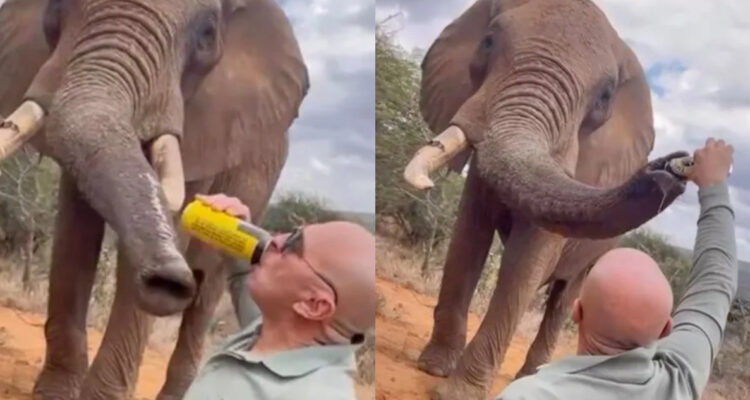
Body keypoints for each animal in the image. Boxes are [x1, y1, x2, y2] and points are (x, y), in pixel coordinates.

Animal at [0, 0, 308, 398]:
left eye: (207, 34)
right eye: (55, 8)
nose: (168, 278)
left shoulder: (209, 128)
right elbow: (75, 230)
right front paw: (55, 394)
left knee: (206, 290)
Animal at [402, 0, 688, 399]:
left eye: (604, 97)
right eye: (488, 42)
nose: (676, 165)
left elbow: (528, 258)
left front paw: (458, 392)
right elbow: (469, 235)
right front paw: (433, 368)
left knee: (566, 296)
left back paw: (538, 374)